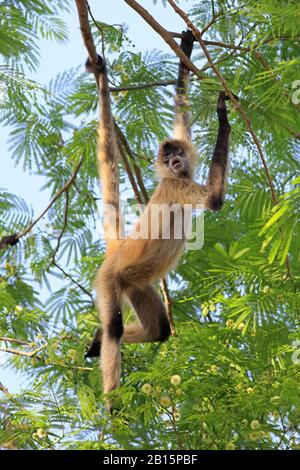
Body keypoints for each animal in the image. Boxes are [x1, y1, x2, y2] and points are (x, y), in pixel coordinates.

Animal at [85, 29, 231, 406]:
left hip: (135, 284)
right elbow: (213, 199)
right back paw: (113, 401)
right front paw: (223, 114)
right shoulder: (175, 186)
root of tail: (118, 249)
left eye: (177, 151)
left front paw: (186, 52)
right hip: (110, 280)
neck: (175, 176)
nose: (175, 160)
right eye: (167, 159)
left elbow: (181, 115)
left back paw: (96, 341)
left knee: (158, 330)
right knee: (115, 328)